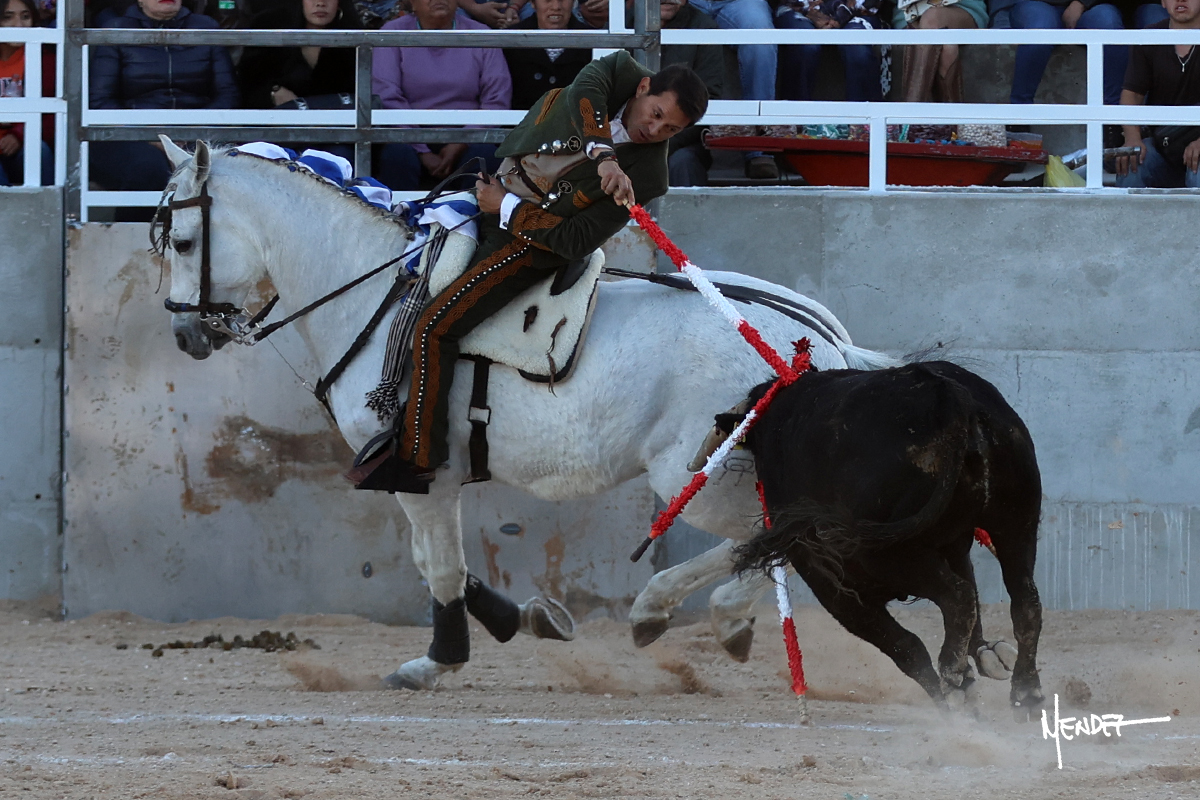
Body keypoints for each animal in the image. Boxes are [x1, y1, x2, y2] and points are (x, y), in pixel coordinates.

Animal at [158, 138, 897, 690]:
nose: (186, 336)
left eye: (186, 242)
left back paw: (690, 611)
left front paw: (437, 660)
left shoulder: (419, 471)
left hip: (698, 479)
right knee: (780, 532)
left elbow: (442, 565)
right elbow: (436, 562)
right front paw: (525, 619)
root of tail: (814, 338)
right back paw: (696, 615)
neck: (379, 290)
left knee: (777, 531)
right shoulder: (420, 479)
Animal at [703, 361, 1044, 719]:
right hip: (1017, 520)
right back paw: (1025, 691)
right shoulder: (956, 544)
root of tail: (950, 399)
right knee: (1024, 600)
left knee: (958, 598)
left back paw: (957, 686)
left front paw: (957, 697)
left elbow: (906, 648)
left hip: (888, 554)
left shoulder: (830, 582)